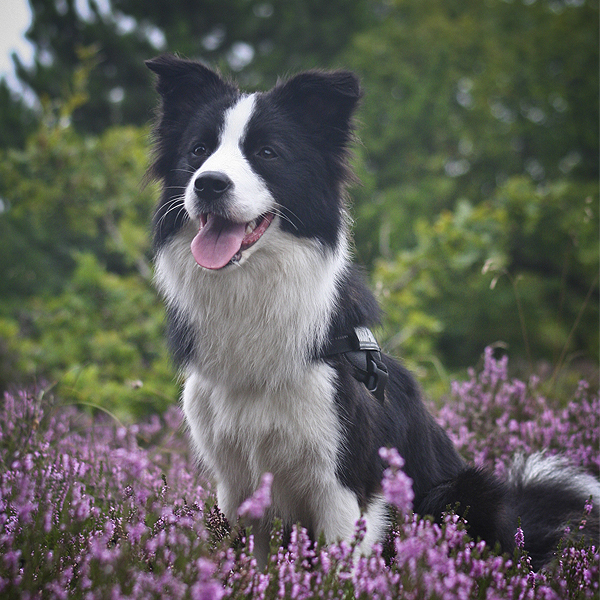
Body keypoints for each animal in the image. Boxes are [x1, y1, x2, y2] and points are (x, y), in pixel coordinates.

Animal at [146, 56, 600, 572]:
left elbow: (343, 566)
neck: (251, 296)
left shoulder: (344, 481)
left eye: (266, 152)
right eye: (198, 150)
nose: (208, 184)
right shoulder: (236, 482)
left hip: (462, 491)